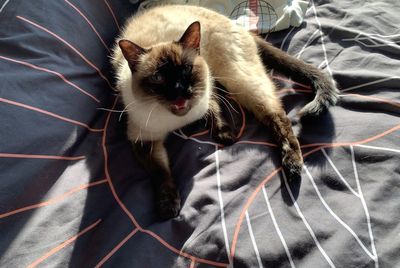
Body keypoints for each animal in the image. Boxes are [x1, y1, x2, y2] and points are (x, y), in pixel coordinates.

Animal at [111, 4, 340, 220]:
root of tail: (239, 26)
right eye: (158, 78)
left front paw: (224, 135)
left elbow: (215, 110)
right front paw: (167, 207)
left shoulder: (207, 90)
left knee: (278, 116)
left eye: (186, 69)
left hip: (236, 78)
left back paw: (292, 166)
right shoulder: (144, 140)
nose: (180, 91)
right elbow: (160, 173)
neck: (179, 120)